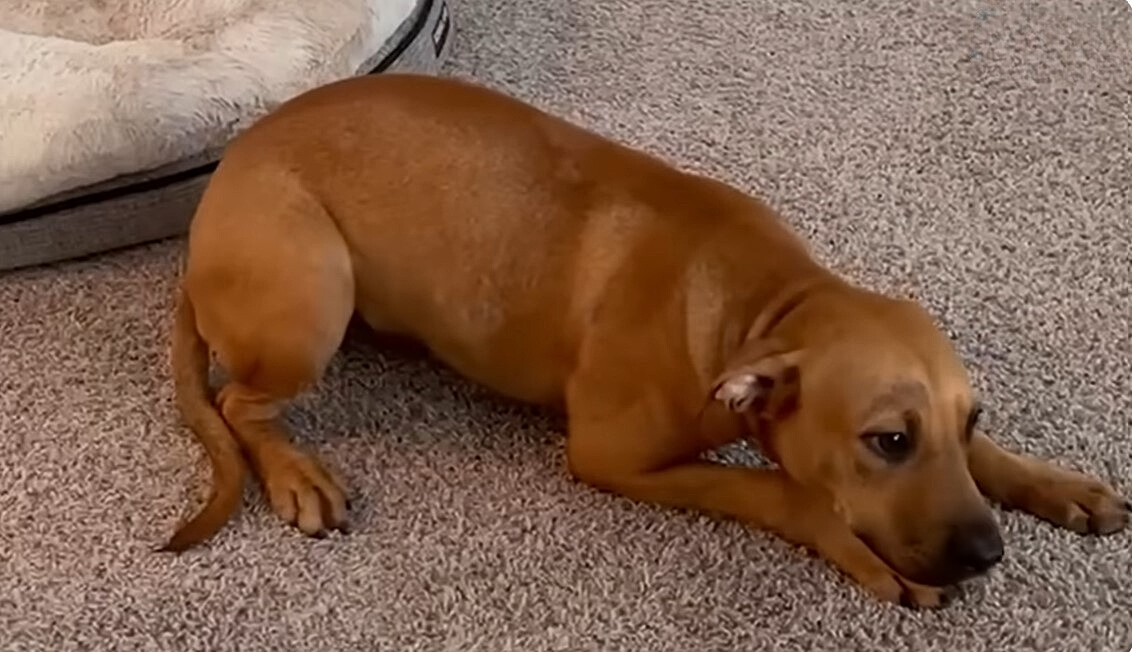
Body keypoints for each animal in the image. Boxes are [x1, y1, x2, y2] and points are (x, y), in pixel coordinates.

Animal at [164, 73, 1127, 606]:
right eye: (887, 442)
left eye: (969, 423)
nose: (988, 554)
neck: (765, 306)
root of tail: (216, 195)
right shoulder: (612, 458)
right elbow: (782, 491)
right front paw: (854, 544)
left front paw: (1055, 484)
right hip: (312, 298)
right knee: (238, 401)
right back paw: (295, 472)